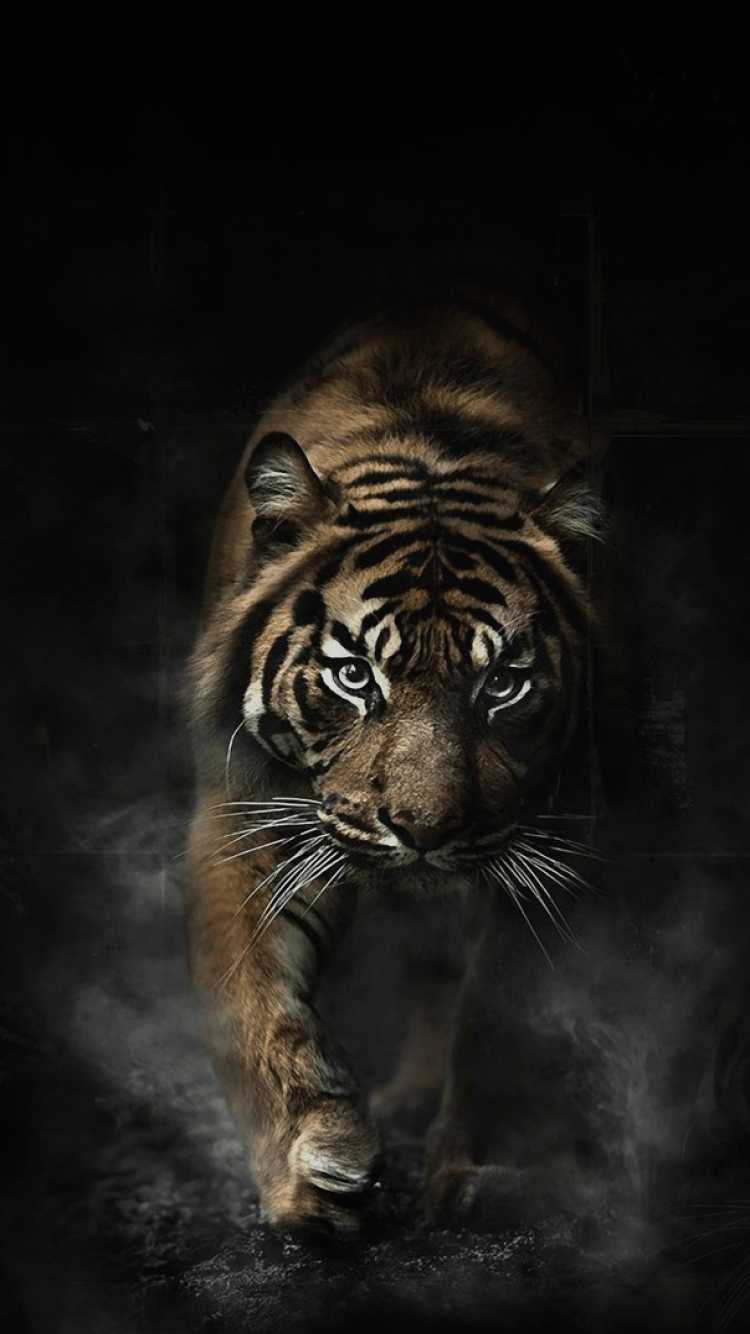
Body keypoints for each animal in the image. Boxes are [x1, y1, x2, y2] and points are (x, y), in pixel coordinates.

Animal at [185, 284, 606, 1237]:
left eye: (503, 684)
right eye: (354, 674)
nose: (423, 828)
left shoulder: (546, 850)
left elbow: (498, 1014)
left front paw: (467, 1175)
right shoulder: (247, 812)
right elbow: (249, 1001)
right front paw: (311, 1168)